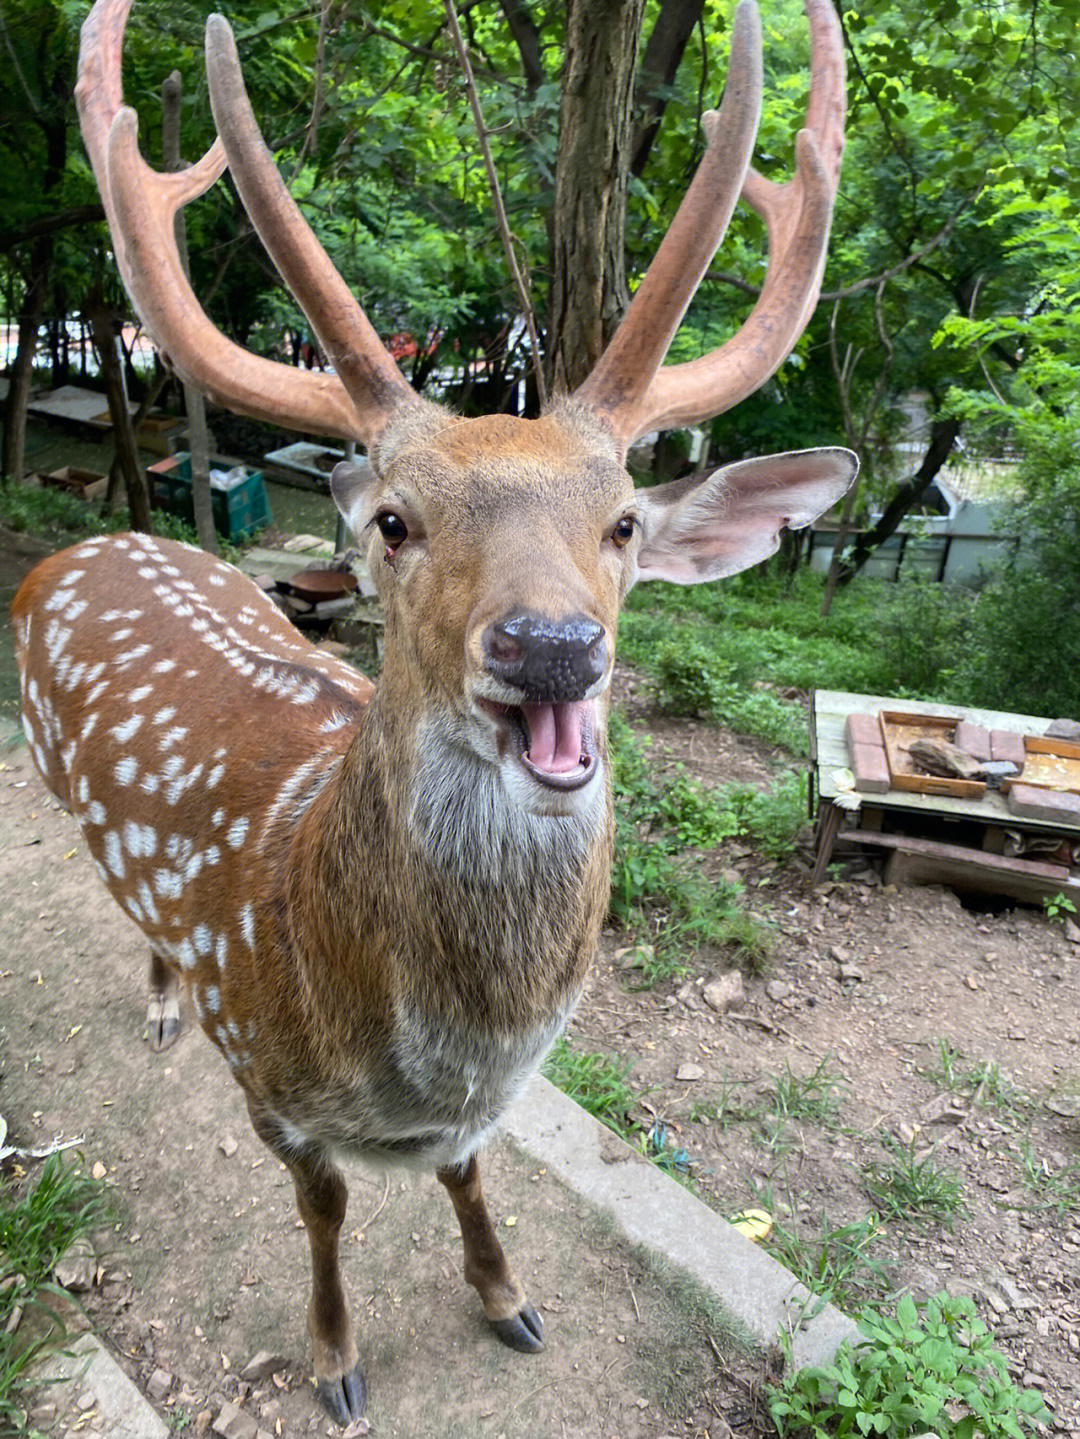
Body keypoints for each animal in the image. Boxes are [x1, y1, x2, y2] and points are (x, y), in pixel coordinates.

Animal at [8, 0, 851, 1421]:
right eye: (393, 522)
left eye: (624, 523)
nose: (553, 647)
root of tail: (81, 544)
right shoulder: (269, 1083)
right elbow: (326, 1215)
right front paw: (336, 1362)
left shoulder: (472, 1118)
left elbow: (467, 1179)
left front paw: (509, 1298)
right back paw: (164, 999)